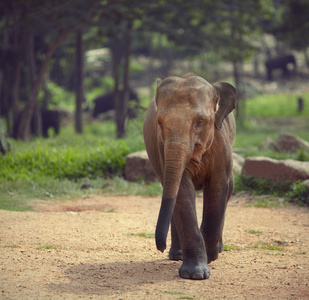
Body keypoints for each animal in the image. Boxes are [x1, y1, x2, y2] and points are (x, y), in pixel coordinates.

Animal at [143, 74, 236, 280]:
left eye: (200, 121)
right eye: (160, 123)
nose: (160, 247)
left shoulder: (221, 145)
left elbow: (218, 188)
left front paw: (211, 257)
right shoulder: (162, 148)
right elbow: (182, 192)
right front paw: (195, 274)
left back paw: (217, 249)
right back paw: (177, 255)